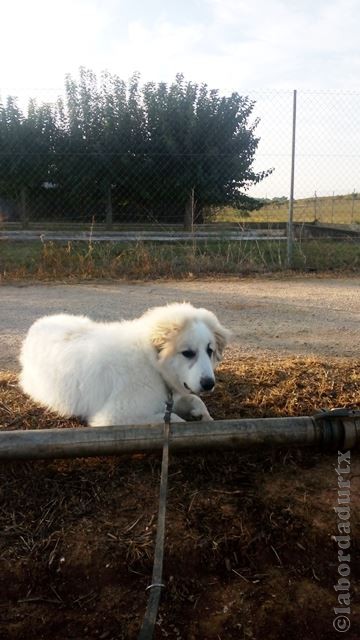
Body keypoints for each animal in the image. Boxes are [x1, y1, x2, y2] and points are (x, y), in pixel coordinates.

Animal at [19, 302, 231, 428]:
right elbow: (174, 420)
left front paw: (204, 416)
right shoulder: (114, 417)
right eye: (187, 353)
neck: (152, 365)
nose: (209, 384)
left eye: (209, 350)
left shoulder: (167, 397)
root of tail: (37, 325)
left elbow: (195, 399)